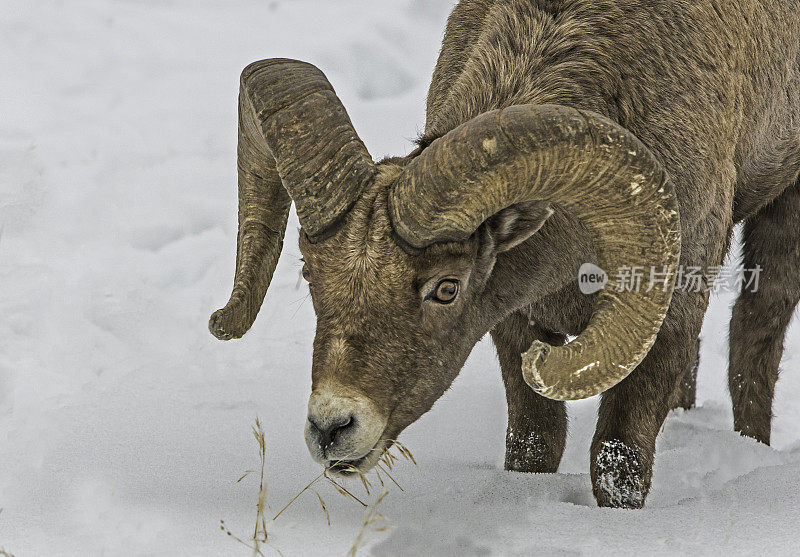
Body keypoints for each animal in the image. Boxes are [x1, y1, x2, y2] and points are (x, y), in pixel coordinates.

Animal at [208, 2, 800, 508]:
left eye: (446, 288)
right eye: (311, 273)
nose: (333, 428)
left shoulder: (667, 317)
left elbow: (620, 460)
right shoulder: (515, 325)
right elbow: (535, 442)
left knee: (756, 333)